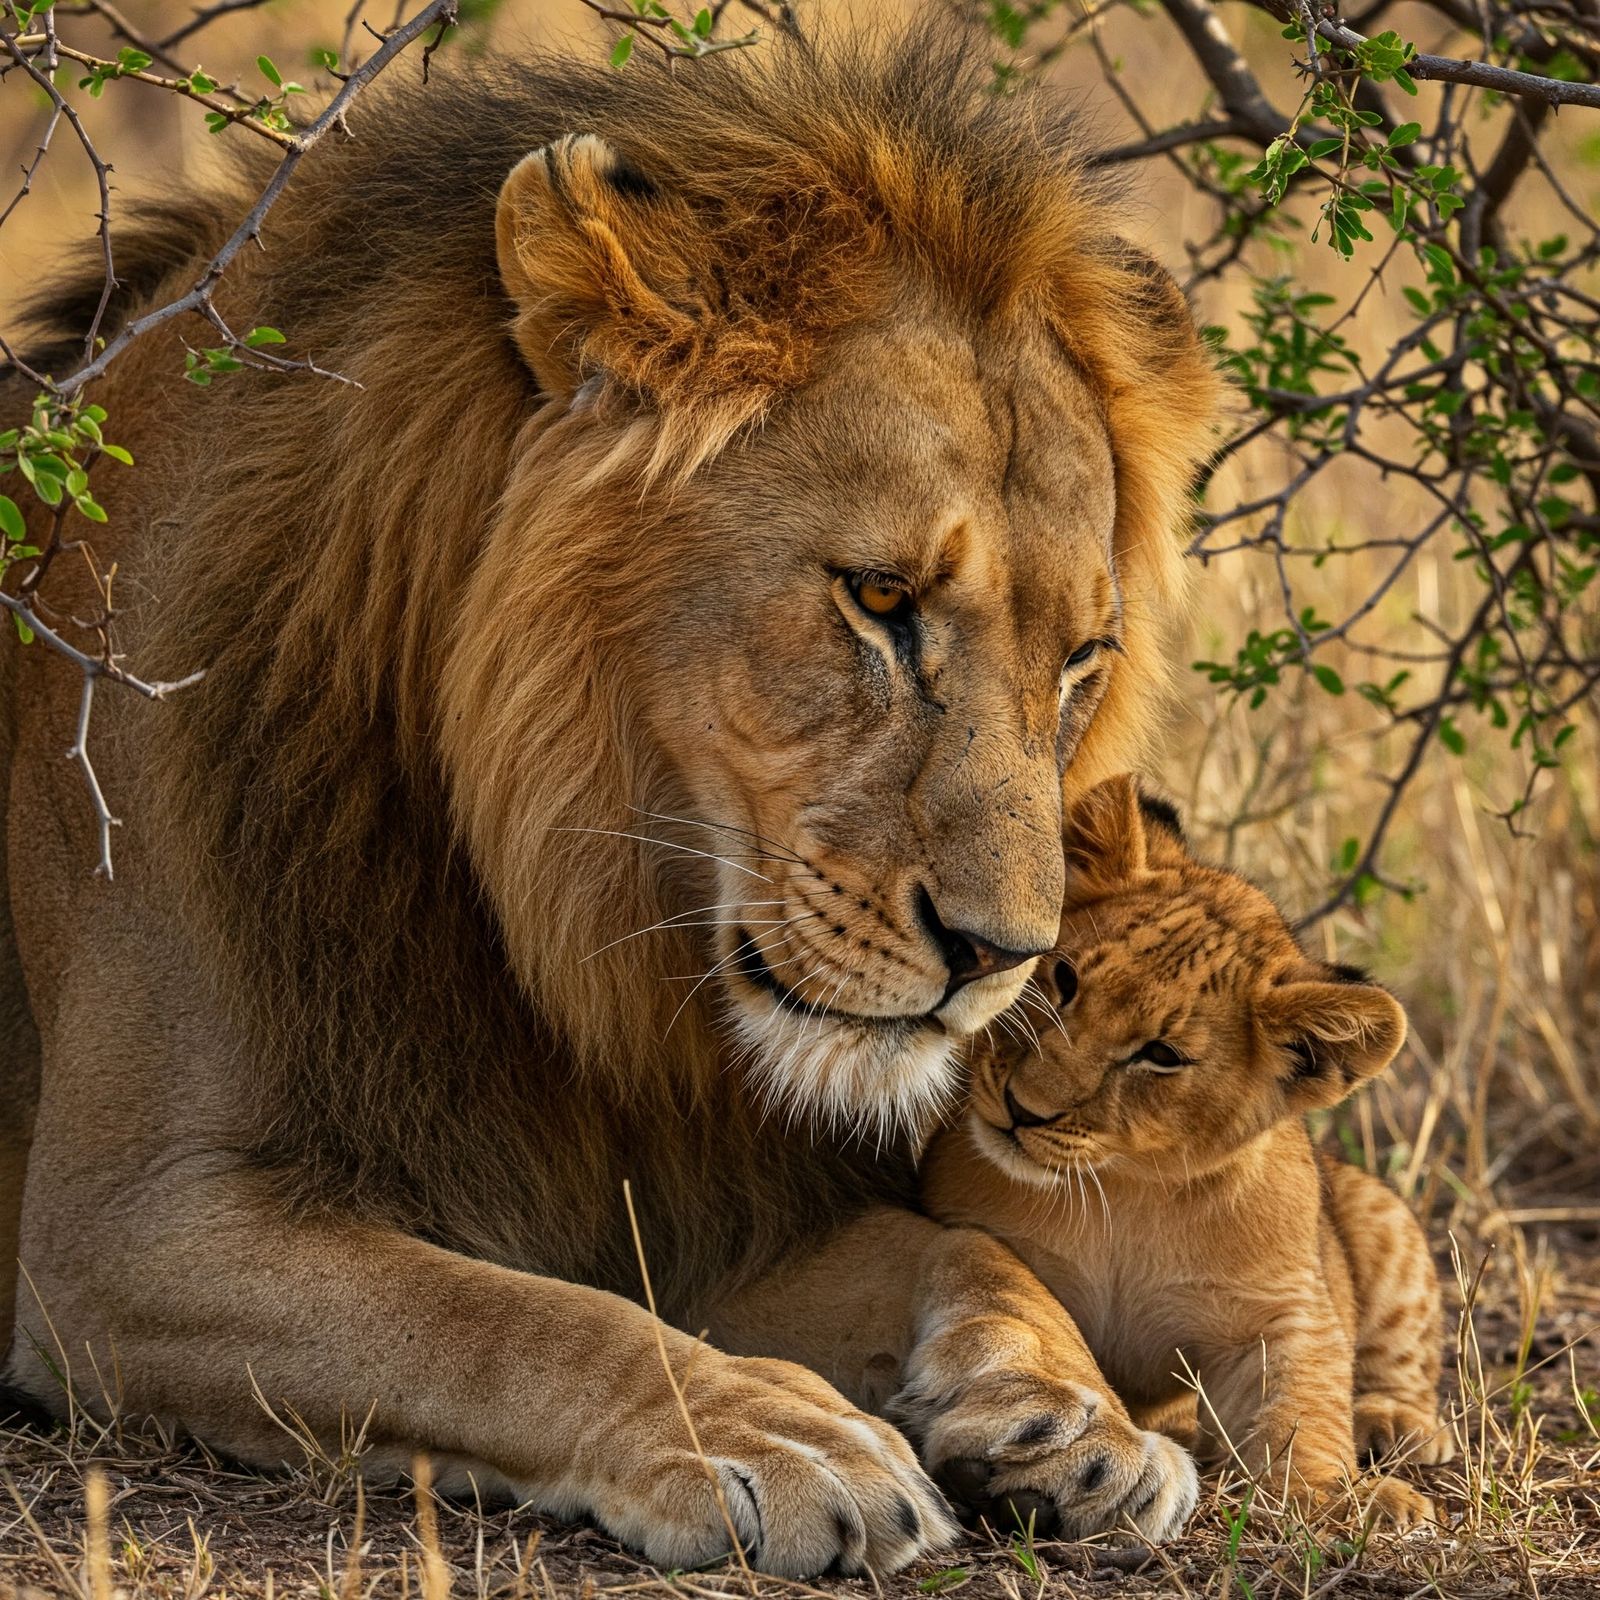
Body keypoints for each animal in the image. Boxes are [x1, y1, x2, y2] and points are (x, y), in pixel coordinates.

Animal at [1, 34, 1218, 1575]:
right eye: (879, 598)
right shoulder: (125, 1231)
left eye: (1081, 659)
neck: (577, 921)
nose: (1002, 959)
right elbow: (505, 1317)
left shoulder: (701, 1212)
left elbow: (971, 1249)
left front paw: (1076, 1416)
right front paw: (775, 1434)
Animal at [922, 776, 1453, 1530]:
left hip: (1381, 1213)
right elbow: (1024, 1327)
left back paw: (1394, 1423)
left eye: (1162, 1056)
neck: (1124, 1190)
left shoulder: (1282, 1312)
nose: (1024, 1107)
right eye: (1064, 979)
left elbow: (1305, 1404)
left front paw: (1340, 1500)